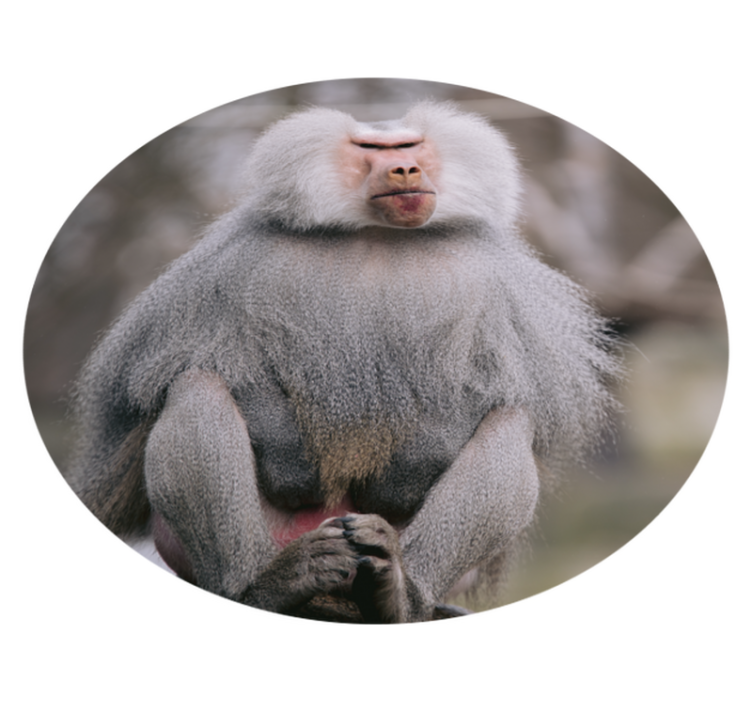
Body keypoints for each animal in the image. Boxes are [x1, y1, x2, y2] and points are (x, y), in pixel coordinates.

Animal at [67, 101, 621, 623]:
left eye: (410, 146)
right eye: (370, 149)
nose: (405, 170)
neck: (377, 236)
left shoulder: (495, 281)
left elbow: (502, 385)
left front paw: (402, 479)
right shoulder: (235, 267)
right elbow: (212, 363)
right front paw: (295, 468)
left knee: (511, 422)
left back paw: (397, 592)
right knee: (197, 387)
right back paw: (267, 584)